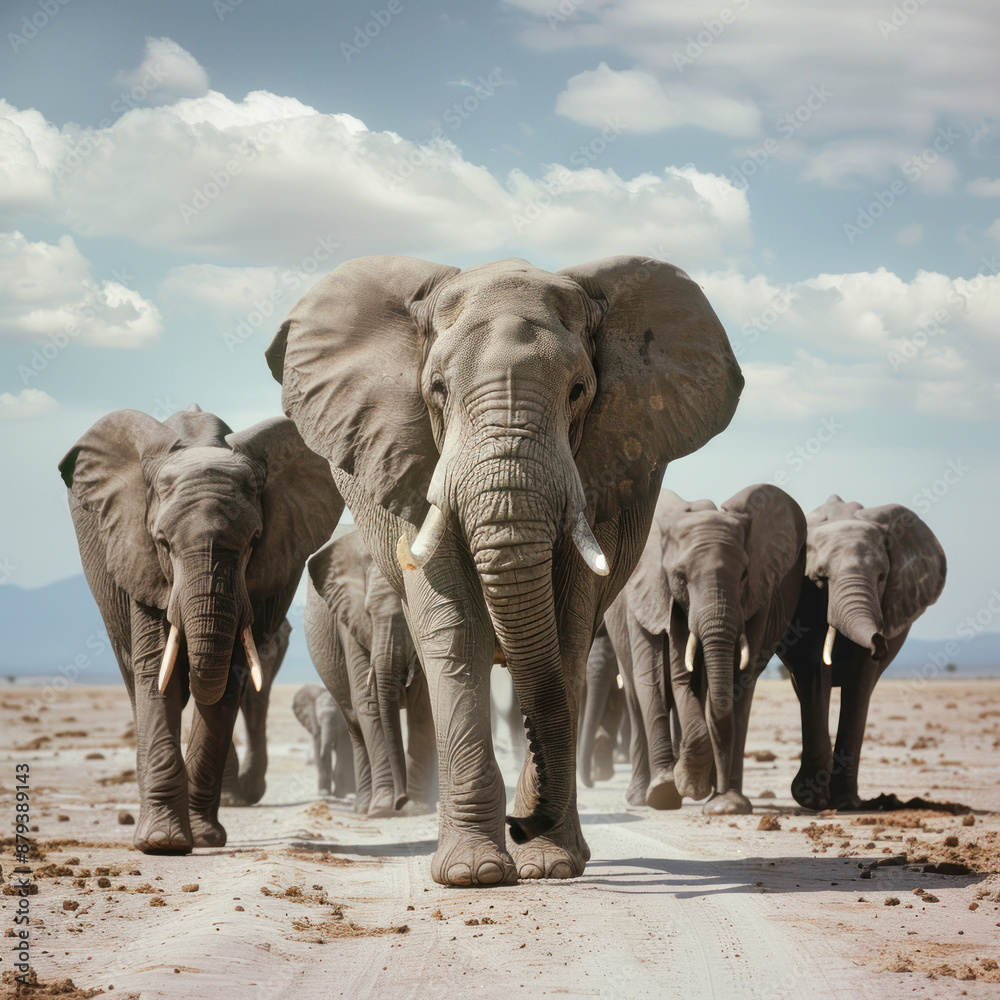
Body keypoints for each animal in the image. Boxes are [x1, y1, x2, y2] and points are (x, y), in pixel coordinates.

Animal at [59, 405, 343, 853]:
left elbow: (229, 679)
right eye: (162, 543)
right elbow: (157, 669)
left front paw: (204, 838)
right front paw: (162, 843)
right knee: (136, 676)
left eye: (253, 542)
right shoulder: (138, 558)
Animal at [305, 531, 437, 816]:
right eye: (368, 612)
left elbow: (423, 705)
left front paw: (417, 808)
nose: (401, 800)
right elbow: (368, 703)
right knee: (354, 726)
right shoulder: (348, 619)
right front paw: (383, 808)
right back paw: (364, 806)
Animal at [605, 485, 806, 815]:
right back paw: (644, 796)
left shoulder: (758, 594)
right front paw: (669, 790)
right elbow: (662, 677)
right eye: (680, 576)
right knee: (637, 693)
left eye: (743, 575)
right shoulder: (651, 591)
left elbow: (737, 681)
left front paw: (724, 803)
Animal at [779, 496, 946, 811]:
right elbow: (814, 669)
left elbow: (860, 682)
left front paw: (846, 803)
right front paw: (812, 798)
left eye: (881, 578)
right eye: (820, 579)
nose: (879, 640)